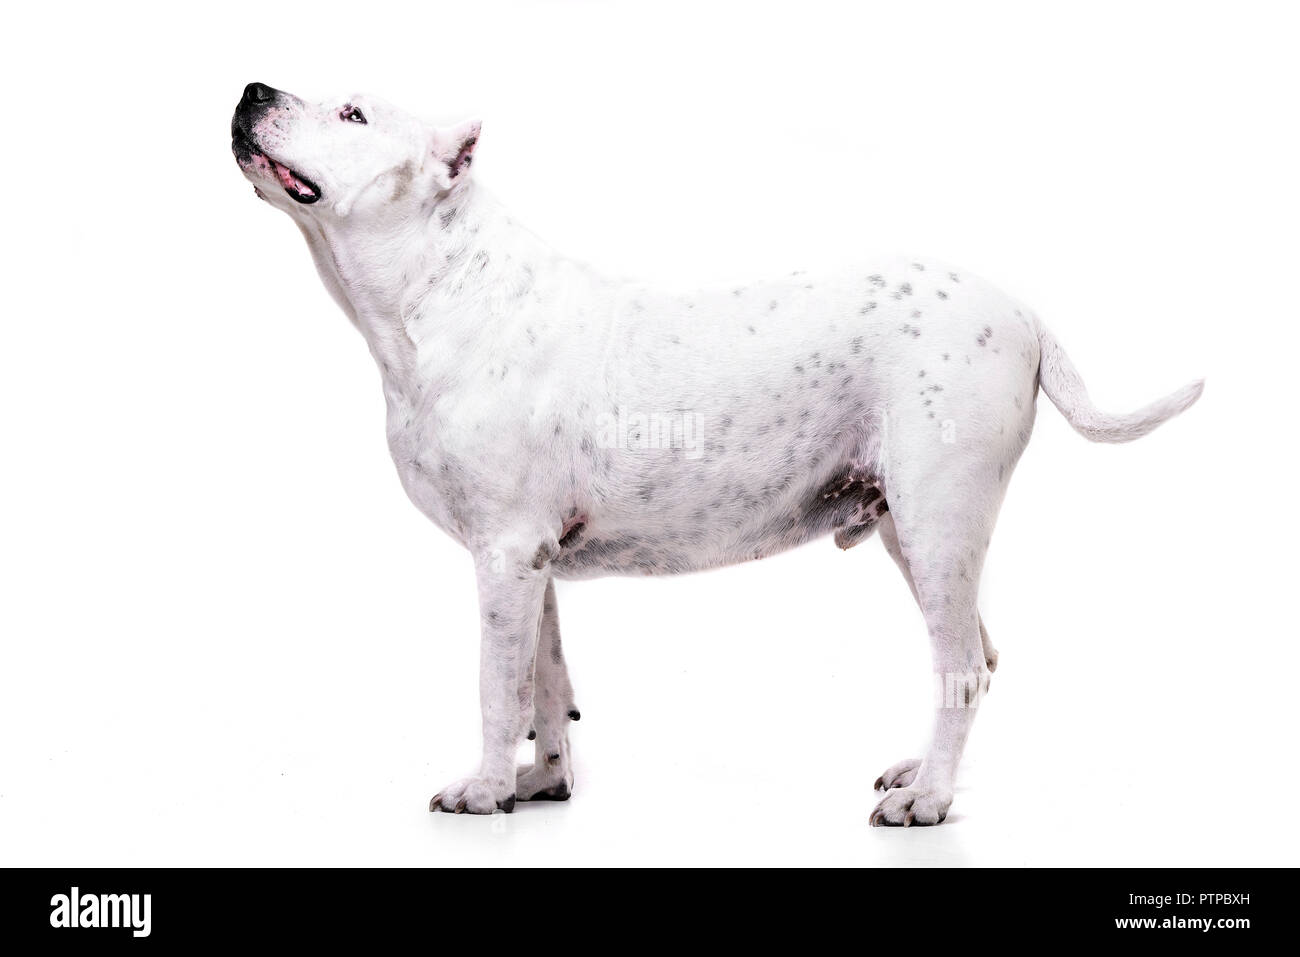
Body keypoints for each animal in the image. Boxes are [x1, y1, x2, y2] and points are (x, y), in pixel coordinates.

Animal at [228, 85, 1201, 826]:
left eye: (352, 112)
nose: (253, 89)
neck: (439, 288)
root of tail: (1022, 308)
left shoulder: (502, 556)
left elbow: (495, 685)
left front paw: (484, 789)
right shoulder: (530, 560)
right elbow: (545, 679)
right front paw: (543, 782)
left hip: (939, 524)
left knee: (960, 662)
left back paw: (927, 801)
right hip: (909, 528)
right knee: (981, 654)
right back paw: (919, 771)